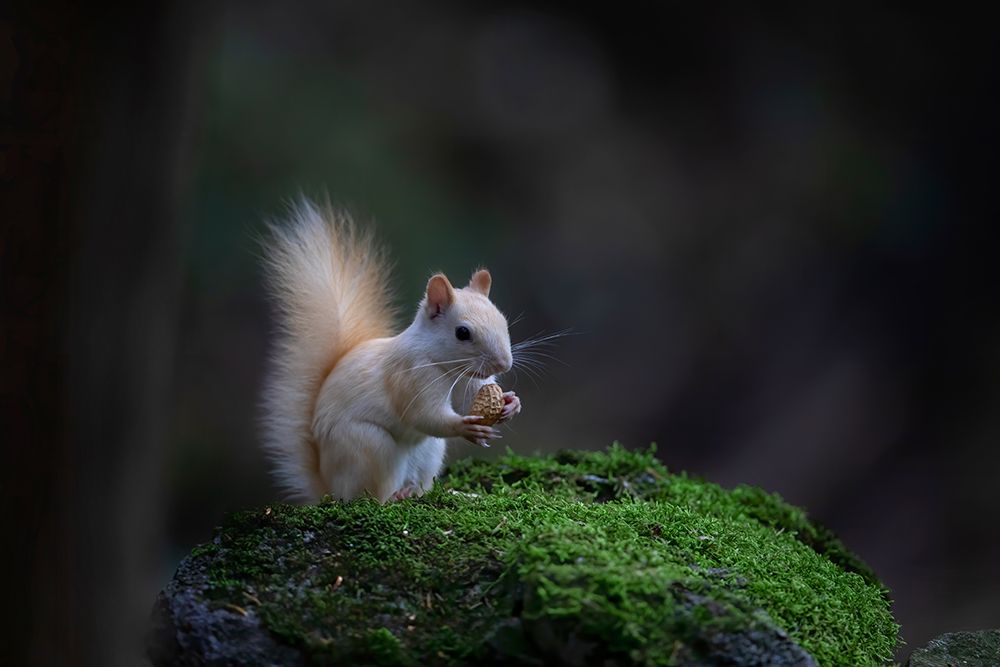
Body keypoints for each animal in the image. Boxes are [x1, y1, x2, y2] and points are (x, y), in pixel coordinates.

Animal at [259, 198, 521, 503]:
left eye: (502, 320)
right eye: (463, 333)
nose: (504, 365)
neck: (444, 364)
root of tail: (329, 487)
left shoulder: (467, 381)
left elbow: (471, 399)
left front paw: (511, 403)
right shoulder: (409, 376)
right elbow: (424, 415)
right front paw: (464, 427)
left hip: (430, 452)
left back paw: (432, 492)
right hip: (369, 447)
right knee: (373, 495)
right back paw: (394, 496)